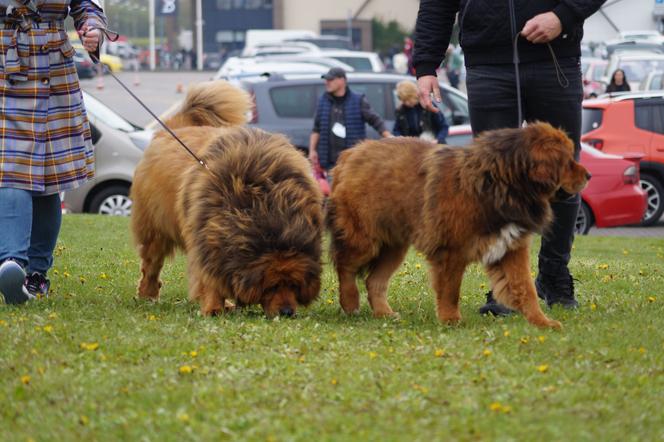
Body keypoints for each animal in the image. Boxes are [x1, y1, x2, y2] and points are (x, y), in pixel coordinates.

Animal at [129, 81, 322, 318]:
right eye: (271, 286)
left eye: (294, 285)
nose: (286, 312)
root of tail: (172, 130)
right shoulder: (206, 237)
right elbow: (209, 277)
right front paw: (213, 307)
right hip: (155, 228)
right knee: (151, 265)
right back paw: (148, 294)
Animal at [328, 121, 592, 328]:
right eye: (568, 161)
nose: (589, 175)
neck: (501, 182)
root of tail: (349, 154)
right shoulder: (451, 251)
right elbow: (451, 290)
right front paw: (451, 319)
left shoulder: (511, 248)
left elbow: (525, 289)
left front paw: (542, 322)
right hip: (365, 240)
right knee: (345, 266)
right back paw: (350, 303)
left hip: (393, 246)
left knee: (374, 281)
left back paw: (384, 313)